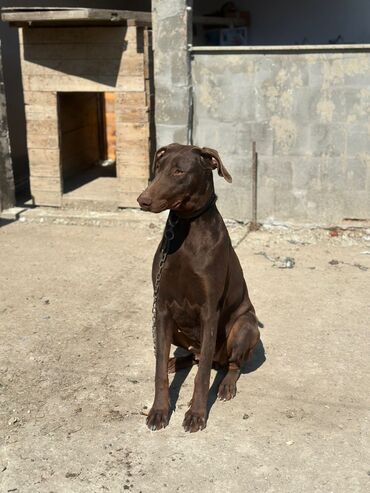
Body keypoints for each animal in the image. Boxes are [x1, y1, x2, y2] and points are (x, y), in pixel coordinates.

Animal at [137, 141, 260, 430]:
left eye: (179, 171)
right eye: (158, 168)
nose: (142, 200)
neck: (186, 226)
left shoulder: (209, 311)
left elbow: (202, 374)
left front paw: (196, 413)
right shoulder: (162, 308)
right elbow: (159, 370)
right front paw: (159, 410)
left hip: (245, 326)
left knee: (230, 365)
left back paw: (226, 385)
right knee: (193, 355)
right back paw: (176, 360)